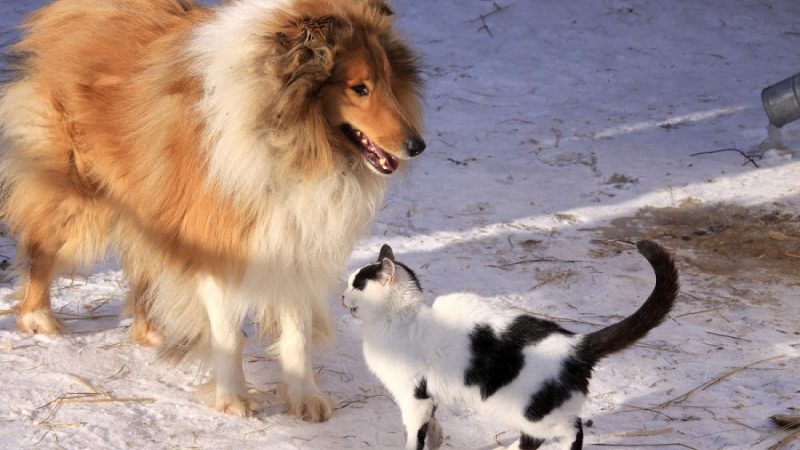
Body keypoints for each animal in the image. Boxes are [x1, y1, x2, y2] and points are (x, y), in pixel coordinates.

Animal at [0, 0, 424, 422]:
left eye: (389, 81)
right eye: (359, 88)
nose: (417, 145)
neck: (289, 138)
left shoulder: (293, 239)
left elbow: (297, 333)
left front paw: (305, 398)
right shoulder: (219, 242)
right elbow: (227, 335)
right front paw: (234, 399)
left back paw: (151, 332)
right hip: (75, 191)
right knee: (41, 250)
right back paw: (40, 320)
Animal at [340, 243, 680, 450]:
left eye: (357, 285)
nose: (342, 297)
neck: (402, 319)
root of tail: (576, 344)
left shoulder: (414, 398)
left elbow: (415, 435)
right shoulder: (430, 399)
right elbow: (432, 427)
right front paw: (437, 438)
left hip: (534, 412)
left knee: (573, 429)